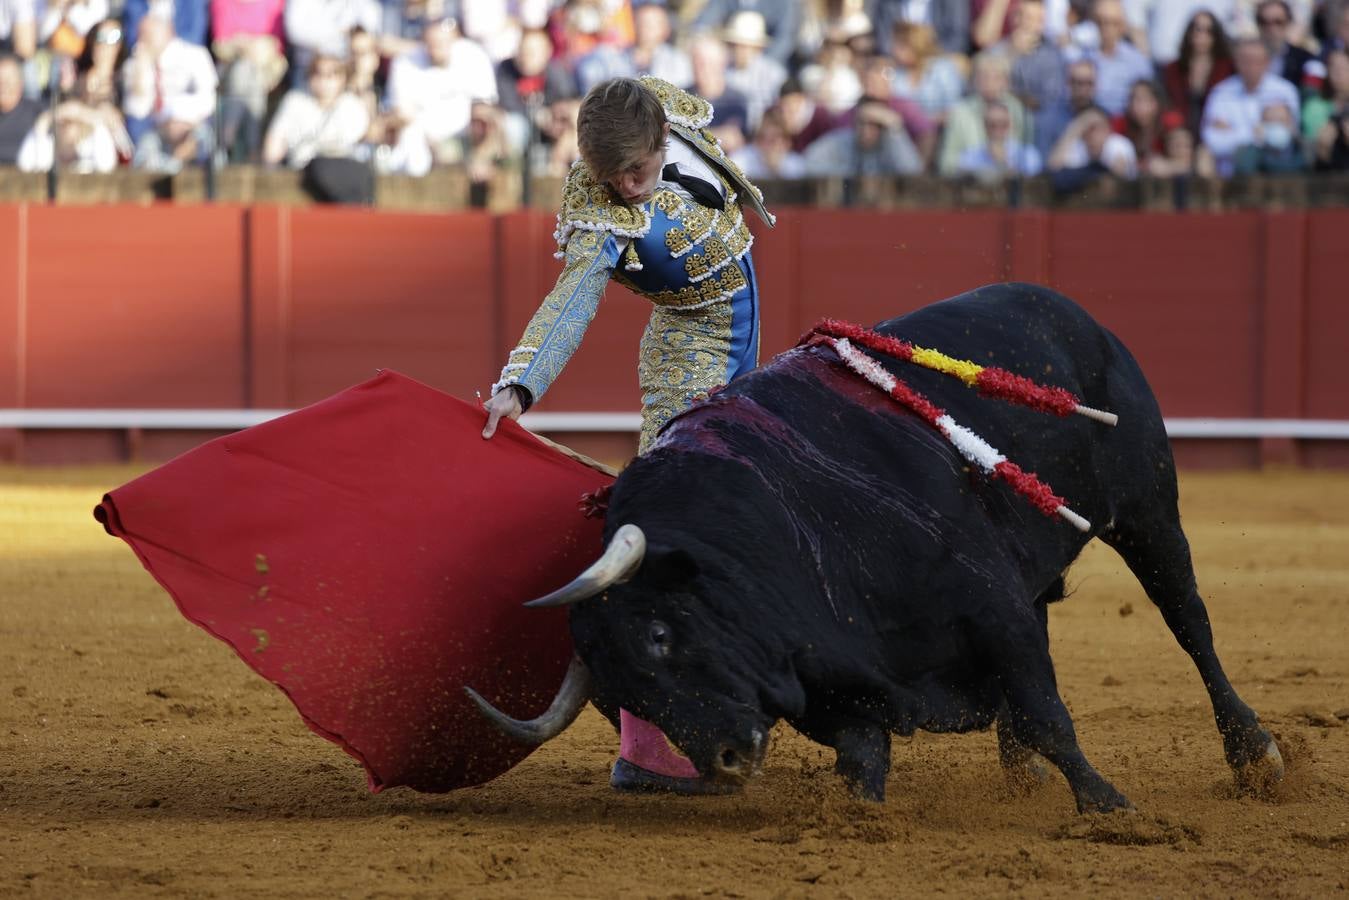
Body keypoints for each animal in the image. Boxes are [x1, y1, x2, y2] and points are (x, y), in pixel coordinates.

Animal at [474, 284, 1284, 814]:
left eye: (660, 635)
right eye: (620, 699)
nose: (725, 763)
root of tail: (1068, 312)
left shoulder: (990, 606)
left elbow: (1050, 713)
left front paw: (1108, 806)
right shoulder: (832, 675)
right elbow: (863, 753)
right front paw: (858, 820)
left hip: (1147, 513)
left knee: (1189, 624)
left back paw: (1256, 757)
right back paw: (1019, 774)